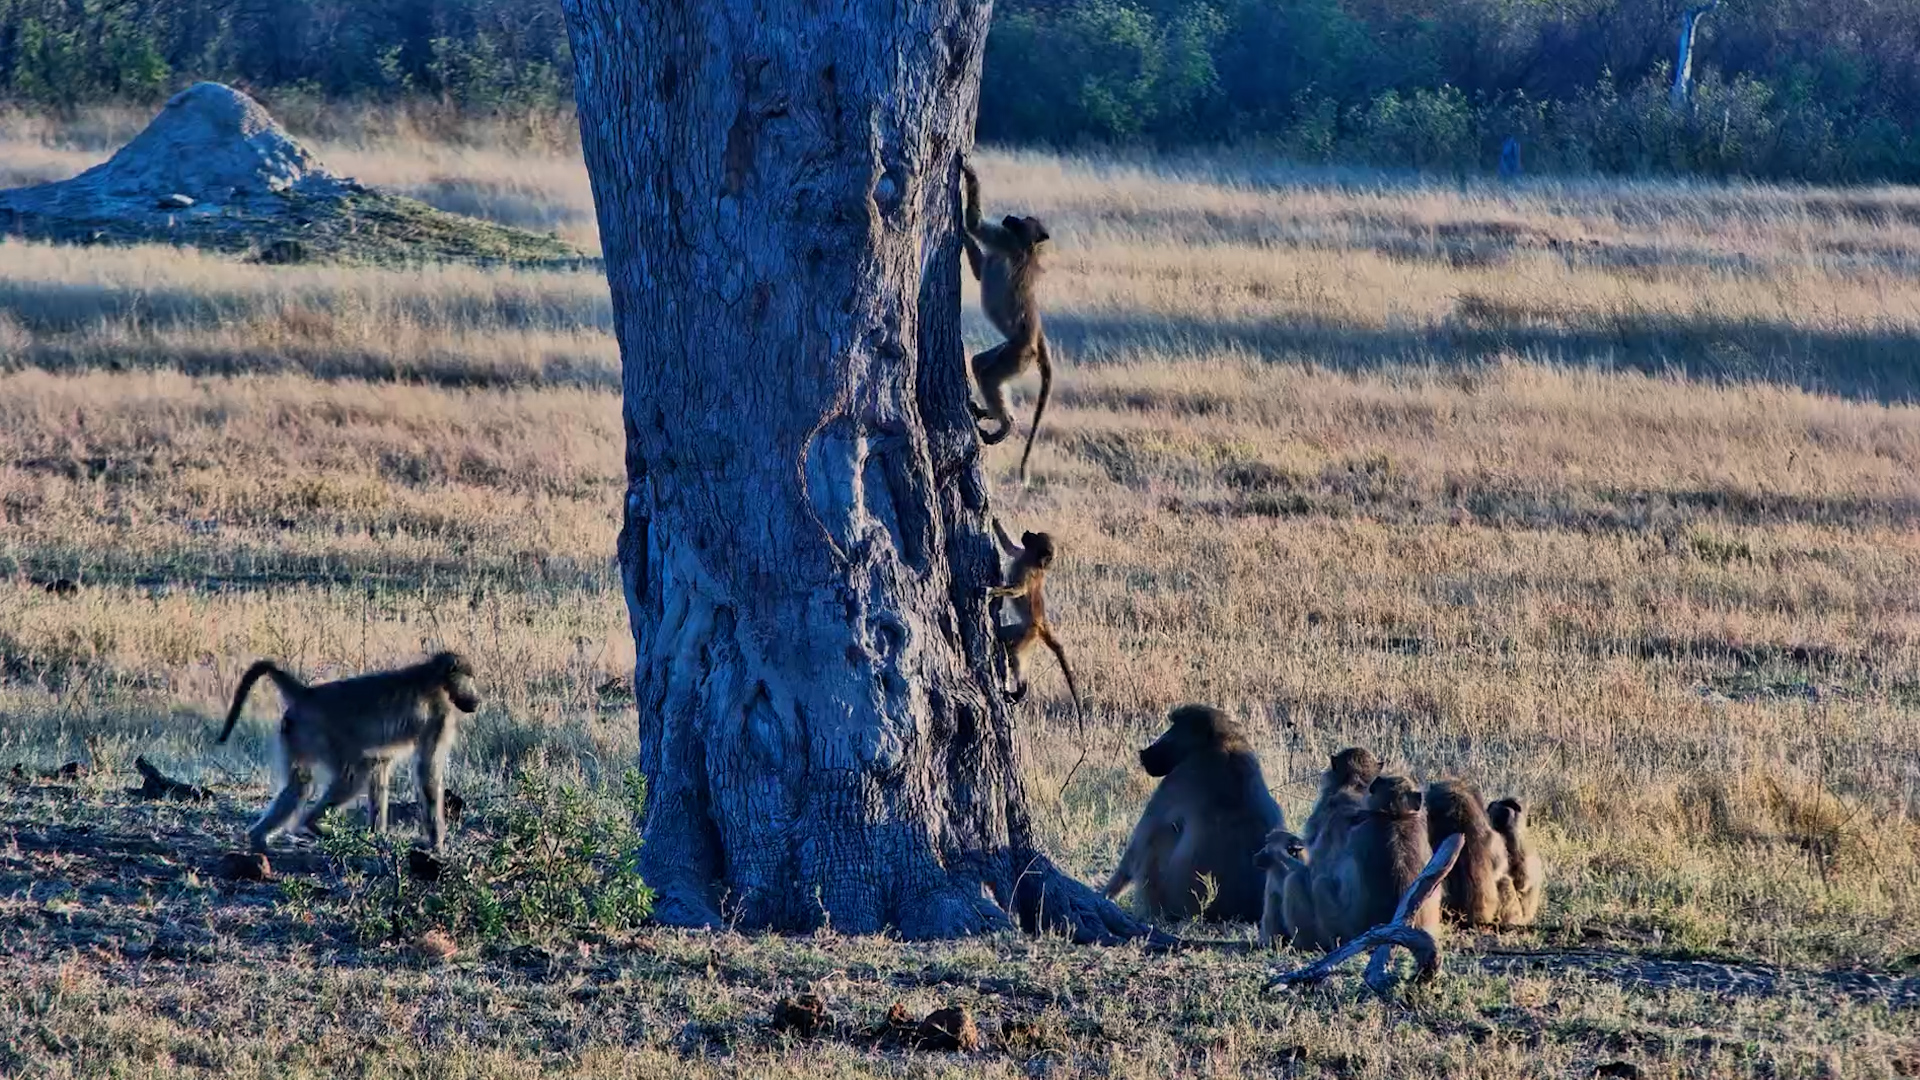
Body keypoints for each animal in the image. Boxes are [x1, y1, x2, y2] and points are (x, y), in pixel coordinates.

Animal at [216, 652, 481, 853]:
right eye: (469, 678)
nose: (477, 699)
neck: (435, 677)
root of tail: (307, 693)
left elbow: (381, 765)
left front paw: (378, 834)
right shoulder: (441, 716)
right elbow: (427, 774)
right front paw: (437, 844)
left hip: (295, 732)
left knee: (300, 785)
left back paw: (258, 839)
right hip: (323, 735)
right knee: (353, 776)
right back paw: (310, 824)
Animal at [960, 159, 1054, 482]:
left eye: (1021, 220)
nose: (1010, 216)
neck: (1027, 247)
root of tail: (1035, 336)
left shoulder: (1004, 240)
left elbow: (975, 225)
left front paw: (968, 172)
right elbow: (980, 269)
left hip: (1018, 354)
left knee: (990, 375)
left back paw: (1006, 424)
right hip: (1013, 351)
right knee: (980, 364)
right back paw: (992, 414)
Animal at [985, 518, 1080, 706]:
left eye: (1035, 537)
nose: (1028, 532)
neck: (1031, 560)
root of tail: (1041, 623)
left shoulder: (1028, 571)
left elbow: (1019, 590)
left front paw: (993, 591)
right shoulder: (1021, 552)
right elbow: (1008, 546)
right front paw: (994, 520)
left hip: (1027, 633)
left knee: (1012, 649)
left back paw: (1021, 689)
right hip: (1028, 635)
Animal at [1102, 704, 1284, 923]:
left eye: (1173, 728)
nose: (1145, 753)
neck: (1216, 744)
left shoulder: (1176, 780)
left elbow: (1136, 849)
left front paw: (1103, 895)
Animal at [1488, 796, 1544, 925]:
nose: (1491, 805)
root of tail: (1527, 918)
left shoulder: (1516, 842)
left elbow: (1522, 883)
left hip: (1518, 912)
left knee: (1504, 881)